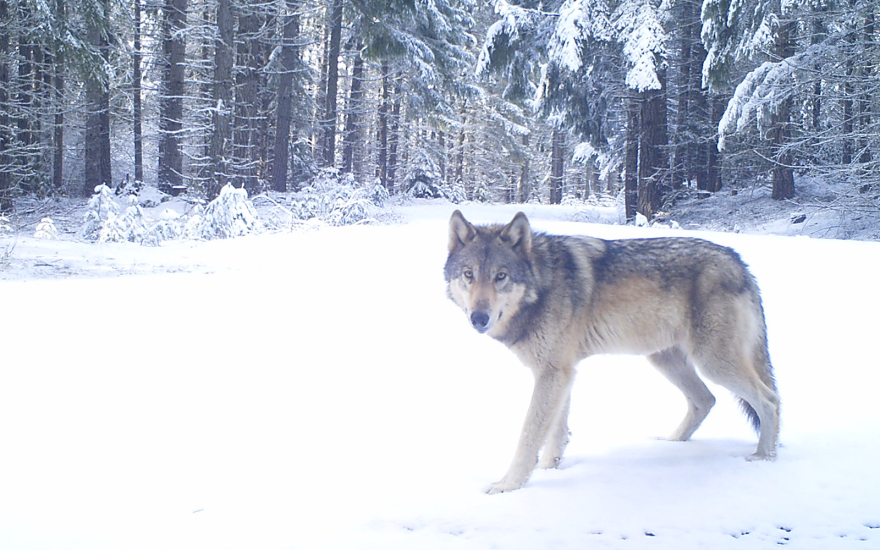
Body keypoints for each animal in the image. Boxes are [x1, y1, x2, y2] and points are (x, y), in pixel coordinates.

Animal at [444, 210, 780, 496]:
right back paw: (672, 442)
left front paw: (509, 485)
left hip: (712, 363)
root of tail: (738, 260)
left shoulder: (553, 373)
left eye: (501, 276)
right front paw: (551, 469)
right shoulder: (561, 372)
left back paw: (764, 457)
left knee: (769, 400)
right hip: (665, 360)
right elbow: (556, 432)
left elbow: (529, 436)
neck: (542, 284)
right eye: (468, 274)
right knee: (705, 400)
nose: (479, 318)